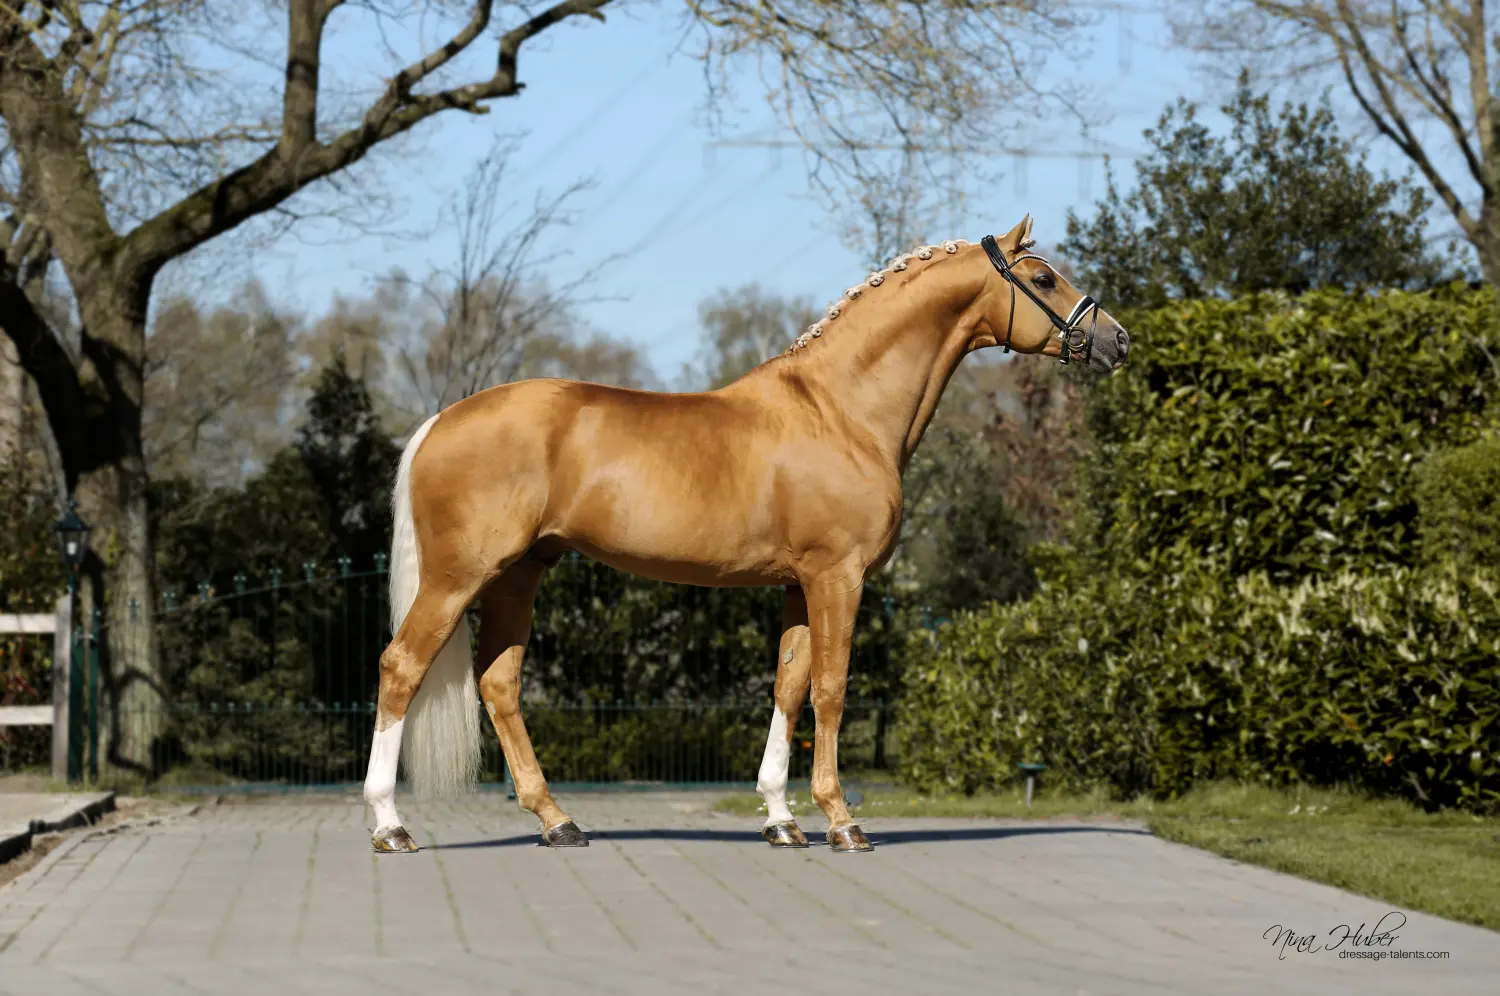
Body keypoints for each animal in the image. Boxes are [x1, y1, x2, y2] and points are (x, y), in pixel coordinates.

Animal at [361, 215, 1130, 853]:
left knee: (500, 684)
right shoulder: (837, 577)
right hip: (459, 577)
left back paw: (557, 821)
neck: (842, 411)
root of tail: (440, 422)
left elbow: (788, 687)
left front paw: (783, 820)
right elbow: (831, 689)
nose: (1116, 340)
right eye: (1042, 278)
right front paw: (841, 822)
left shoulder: (799, 584)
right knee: (401, 668)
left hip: (522, 573)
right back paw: (390, 826)